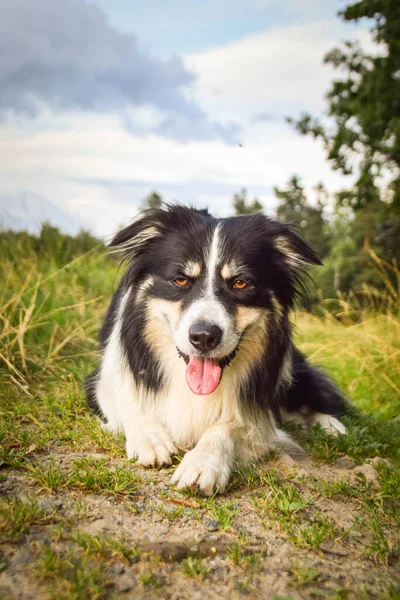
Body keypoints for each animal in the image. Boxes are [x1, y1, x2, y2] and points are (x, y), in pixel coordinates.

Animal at [85, 204, 346, 494]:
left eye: (241, 283)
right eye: (180, 280)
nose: (204, 337)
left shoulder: (257, 416)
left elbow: (229, 425)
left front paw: (202, 464)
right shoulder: (101, 383)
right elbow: (126, 401)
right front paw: (150, 438)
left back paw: (332, 427)